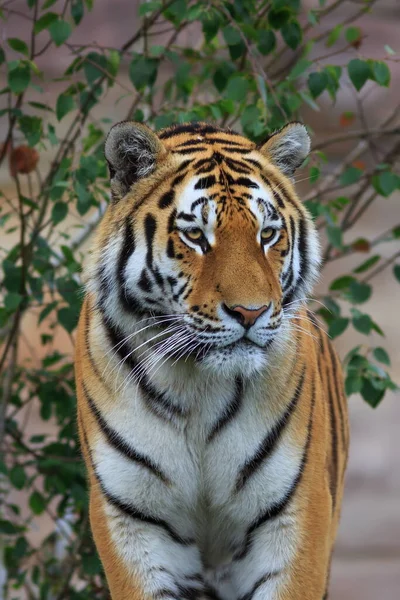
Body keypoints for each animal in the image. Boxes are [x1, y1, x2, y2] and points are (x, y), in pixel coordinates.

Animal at [76, 120, 350, 600]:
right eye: (195, 236)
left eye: (267, 234)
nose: (250, 312)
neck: (197, 385)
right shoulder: (132, 520)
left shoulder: (296, 515)